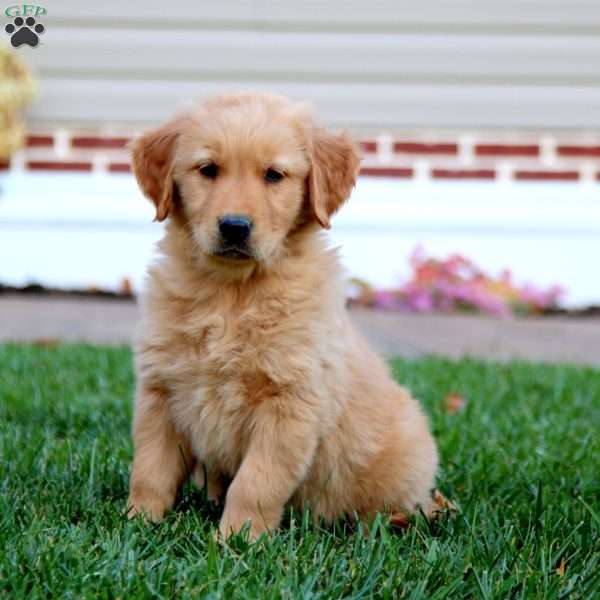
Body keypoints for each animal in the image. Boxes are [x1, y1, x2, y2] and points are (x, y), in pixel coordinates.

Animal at [127, 90, 436, 540]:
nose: (234, 227)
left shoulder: (290, 405)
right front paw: (138, 523)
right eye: (208, 170)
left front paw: (236, 541)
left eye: (274, 175)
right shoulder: (160, 392)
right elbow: (149, 470)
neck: (232, 293)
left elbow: (256, 483)